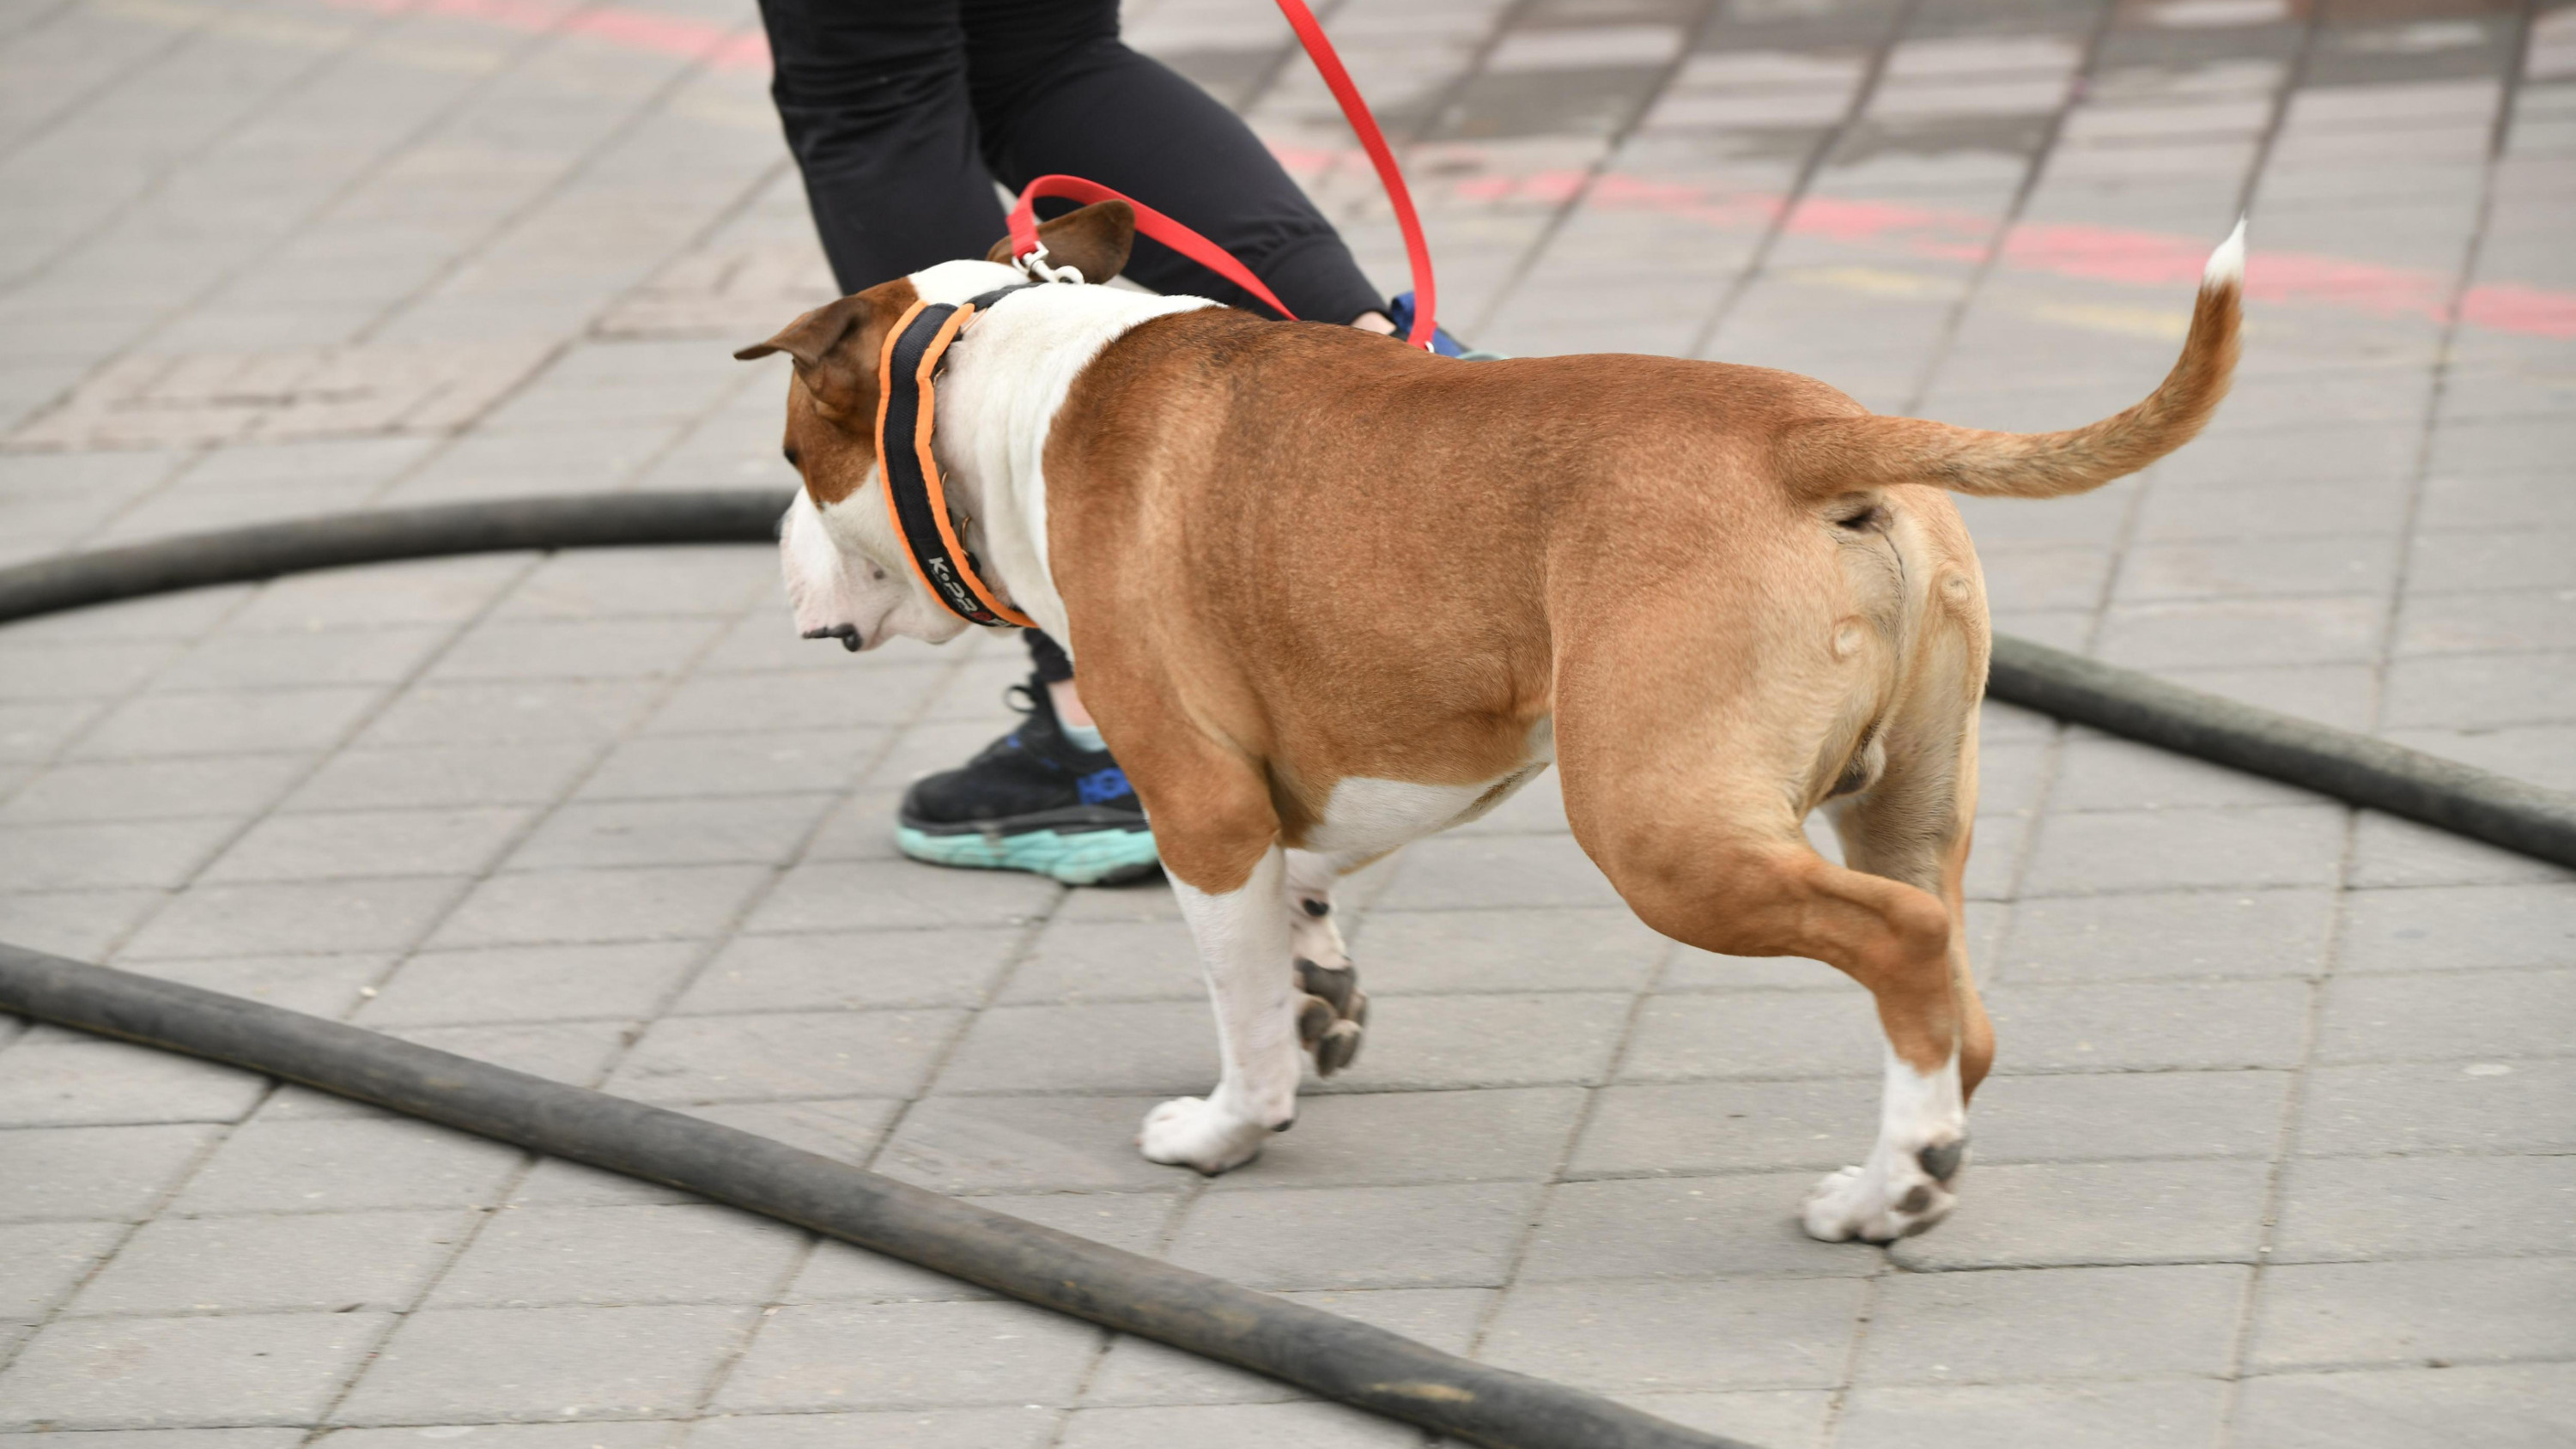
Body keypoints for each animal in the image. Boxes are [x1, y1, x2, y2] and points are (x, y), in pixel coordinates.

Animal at [742, 207, 2236, 1246]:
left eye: (794, 458)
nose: (774, 558)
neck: (1000, 375)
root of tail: (1815, 437)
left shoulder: (1201, 803)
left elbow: (1236, 998)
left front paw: (1234, 1122)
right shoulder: (1326, 772)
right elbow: (1303, 893)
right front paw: (1320, 996)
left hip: (1660, 832)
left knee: (1904, 946)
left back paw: (1903, 1189)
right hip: (1909, 801)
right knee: (1952, 997)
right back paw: (1898, 1169)